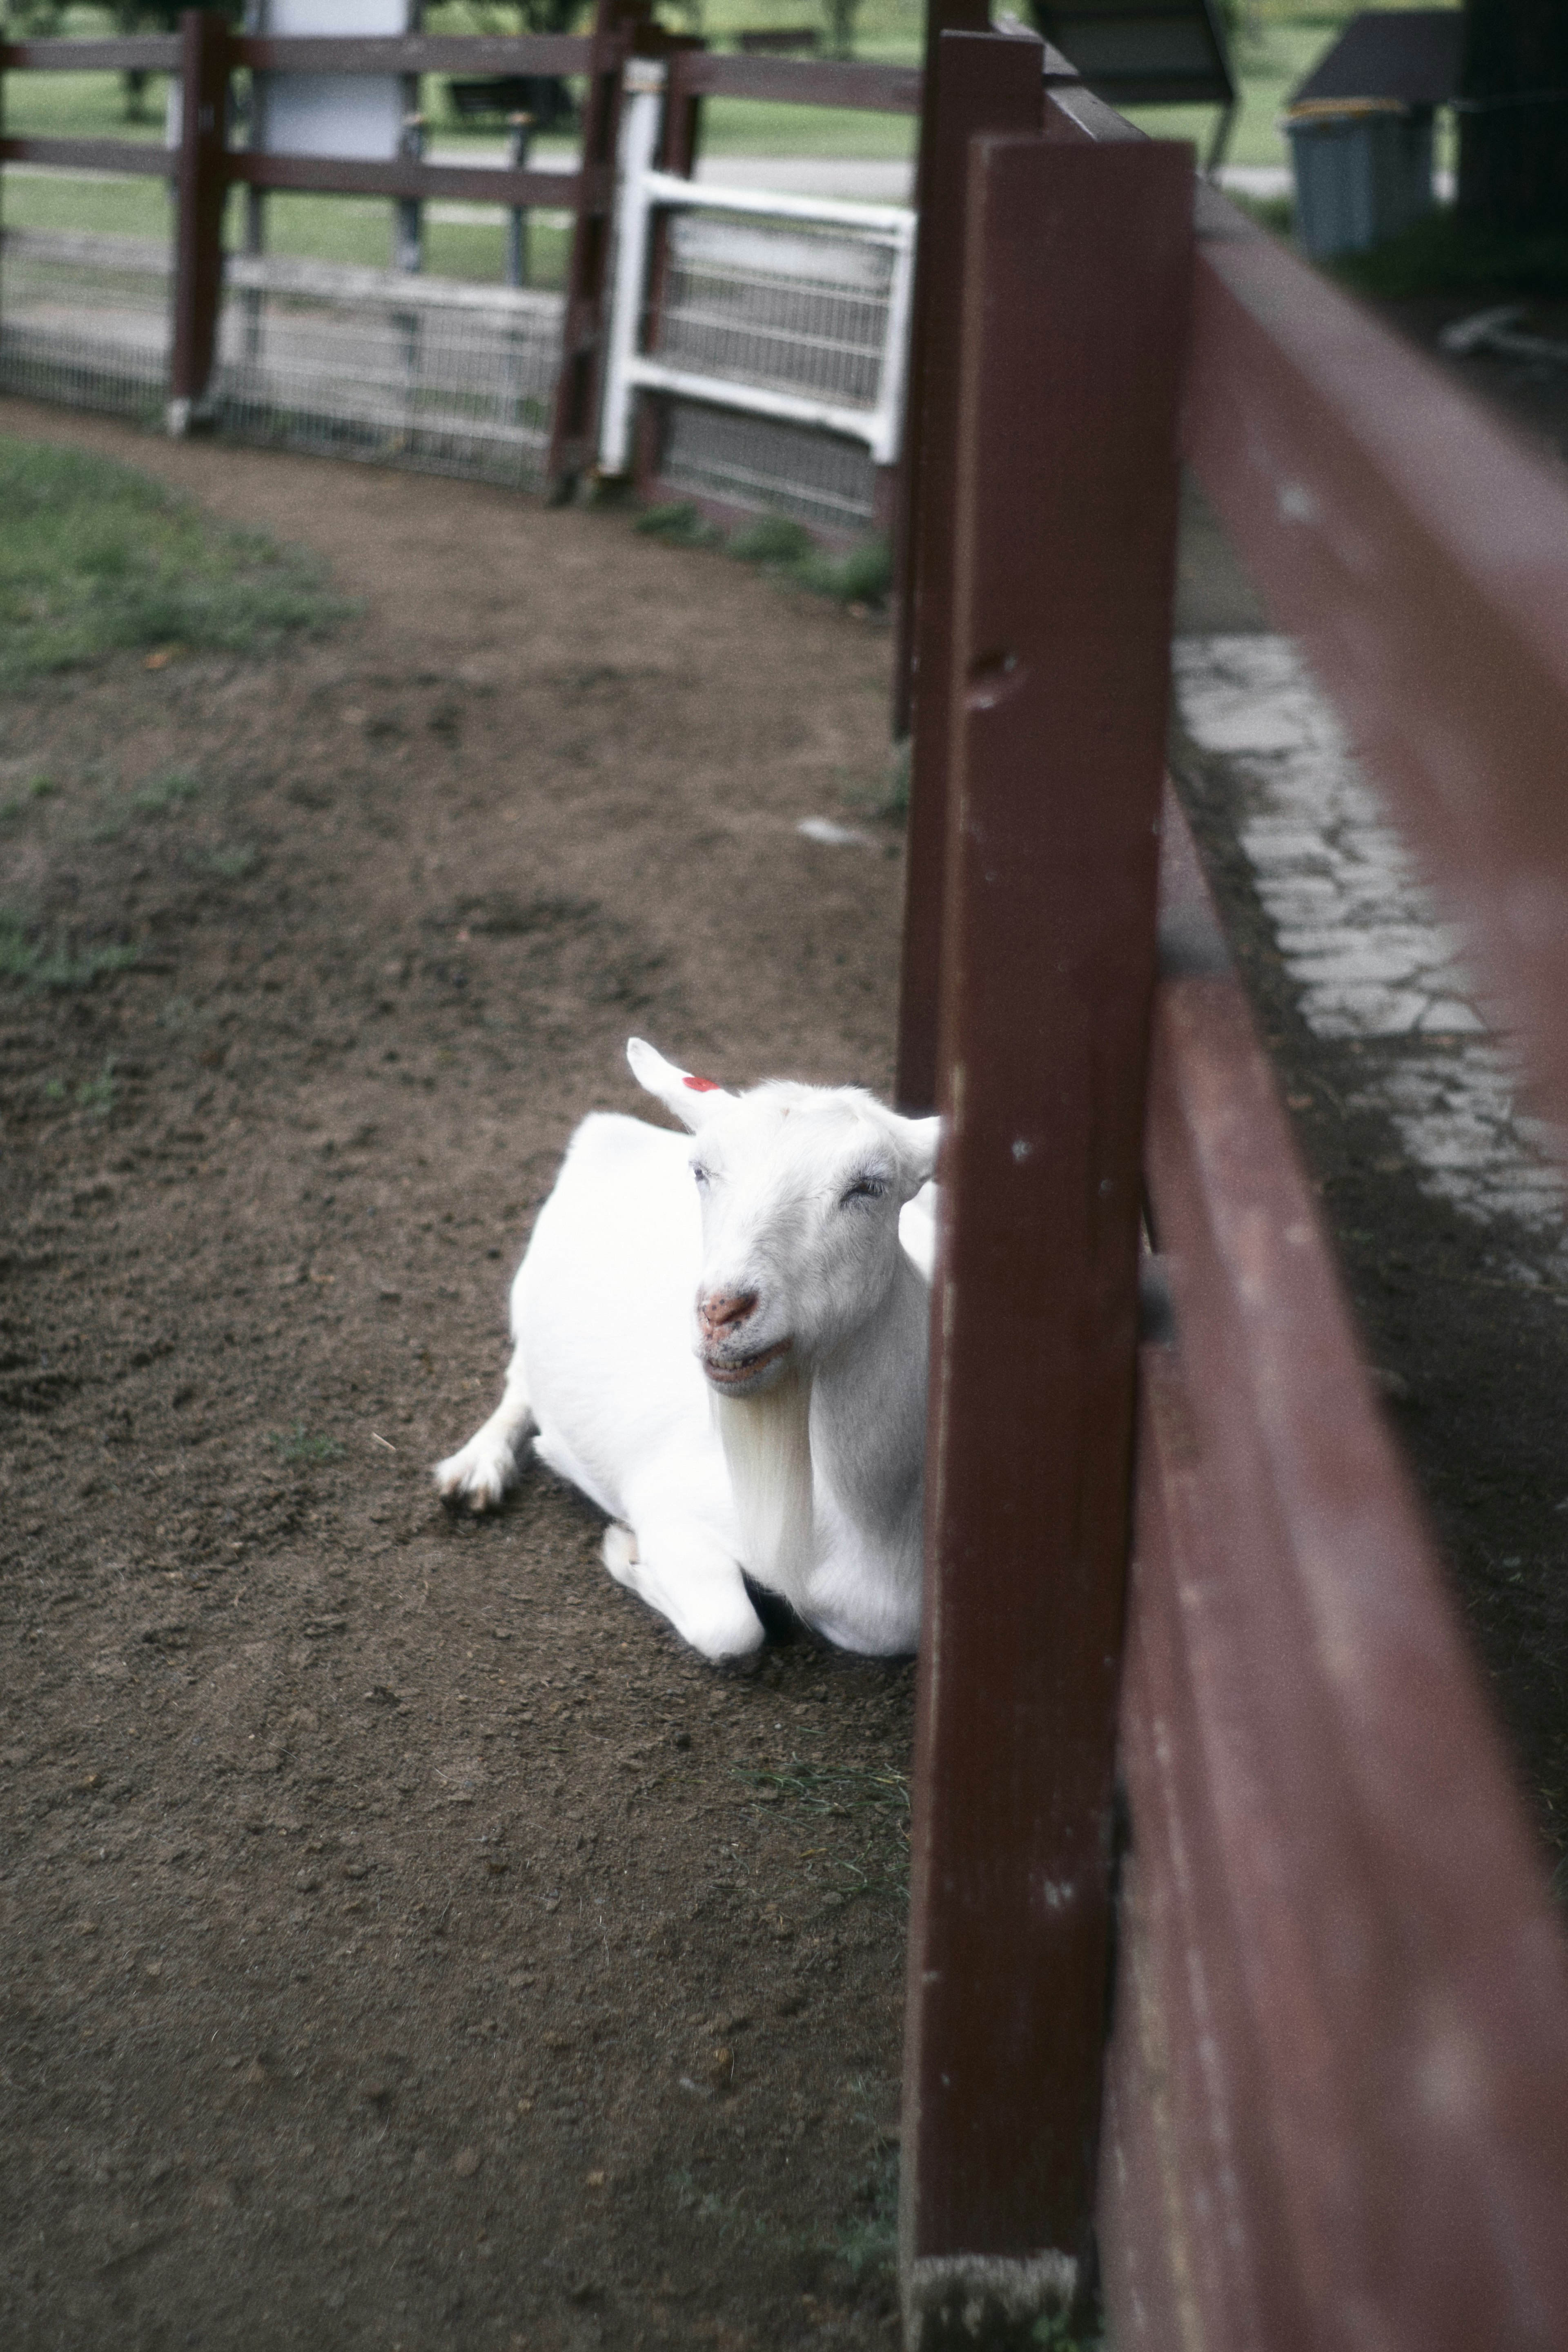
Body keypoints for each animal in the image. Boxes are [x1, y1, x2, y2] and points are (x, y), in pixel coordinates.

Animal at [435, 1039, 940, 1665]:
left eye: (868, 1187)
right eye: (702, 1172)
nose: (722, 1309)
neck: (872, 1527)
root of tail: (620, 1132)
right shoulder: (671, 1504)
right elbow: (733, 1629)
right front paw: (625, 1550)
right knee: (519, 1377)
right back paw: (478, 1467)